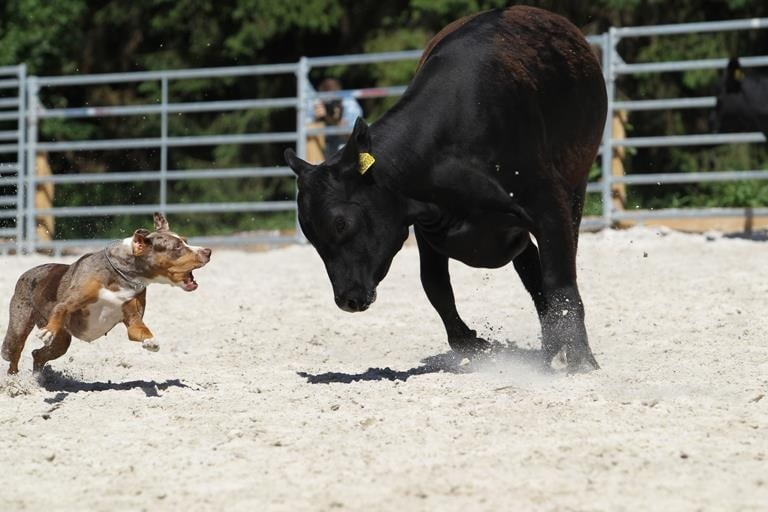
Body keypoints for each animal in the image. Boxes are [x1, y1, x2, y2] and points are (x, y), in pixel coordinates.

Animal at [0, 214, 210, 374]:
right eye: (177, 247)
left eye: (186, 241)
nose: (208, 251)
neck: (122, 276)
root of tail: (27, 273)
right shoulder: (72, 300)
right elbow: (61, 308)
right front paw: (48, 331)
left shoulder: (133, 316)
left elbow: (139, 330)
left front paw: (151, 341)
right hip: (18, 327)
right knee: (13, 351)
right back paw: (14, 379)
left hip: (62, 342)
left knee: (39, 354)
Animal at [284, 5, 608, 372]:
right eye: (311, 235)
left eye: (341, 223)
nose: (347, 299)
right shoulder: (427, 224)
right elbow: (435, 284)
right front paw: (473, 344)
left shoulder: (547, 205)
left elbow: (561, 284)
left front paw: (581, 360)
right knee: (529, 270)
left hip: (576, 185)